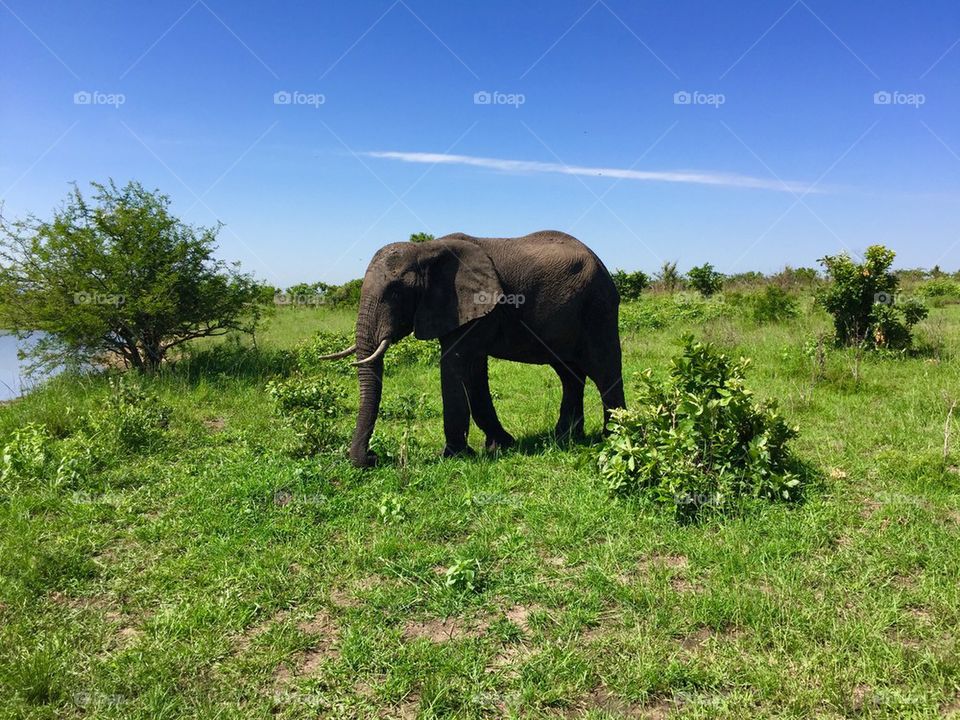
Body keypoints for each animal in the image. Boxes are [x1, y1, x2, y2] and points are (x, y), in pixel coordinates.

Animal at [321, 230, 626, 468]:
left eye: (396, 292)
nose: (373, 457)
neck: (426, 249)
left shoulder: (476, 306)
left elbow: (453, 364)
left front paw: (453, 456)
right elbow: (474, 372)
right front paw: (500, 445)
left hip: (598, 306)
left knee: (604, 370)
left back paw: (614, 440)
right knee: (569, 374)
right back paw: (566, 437)